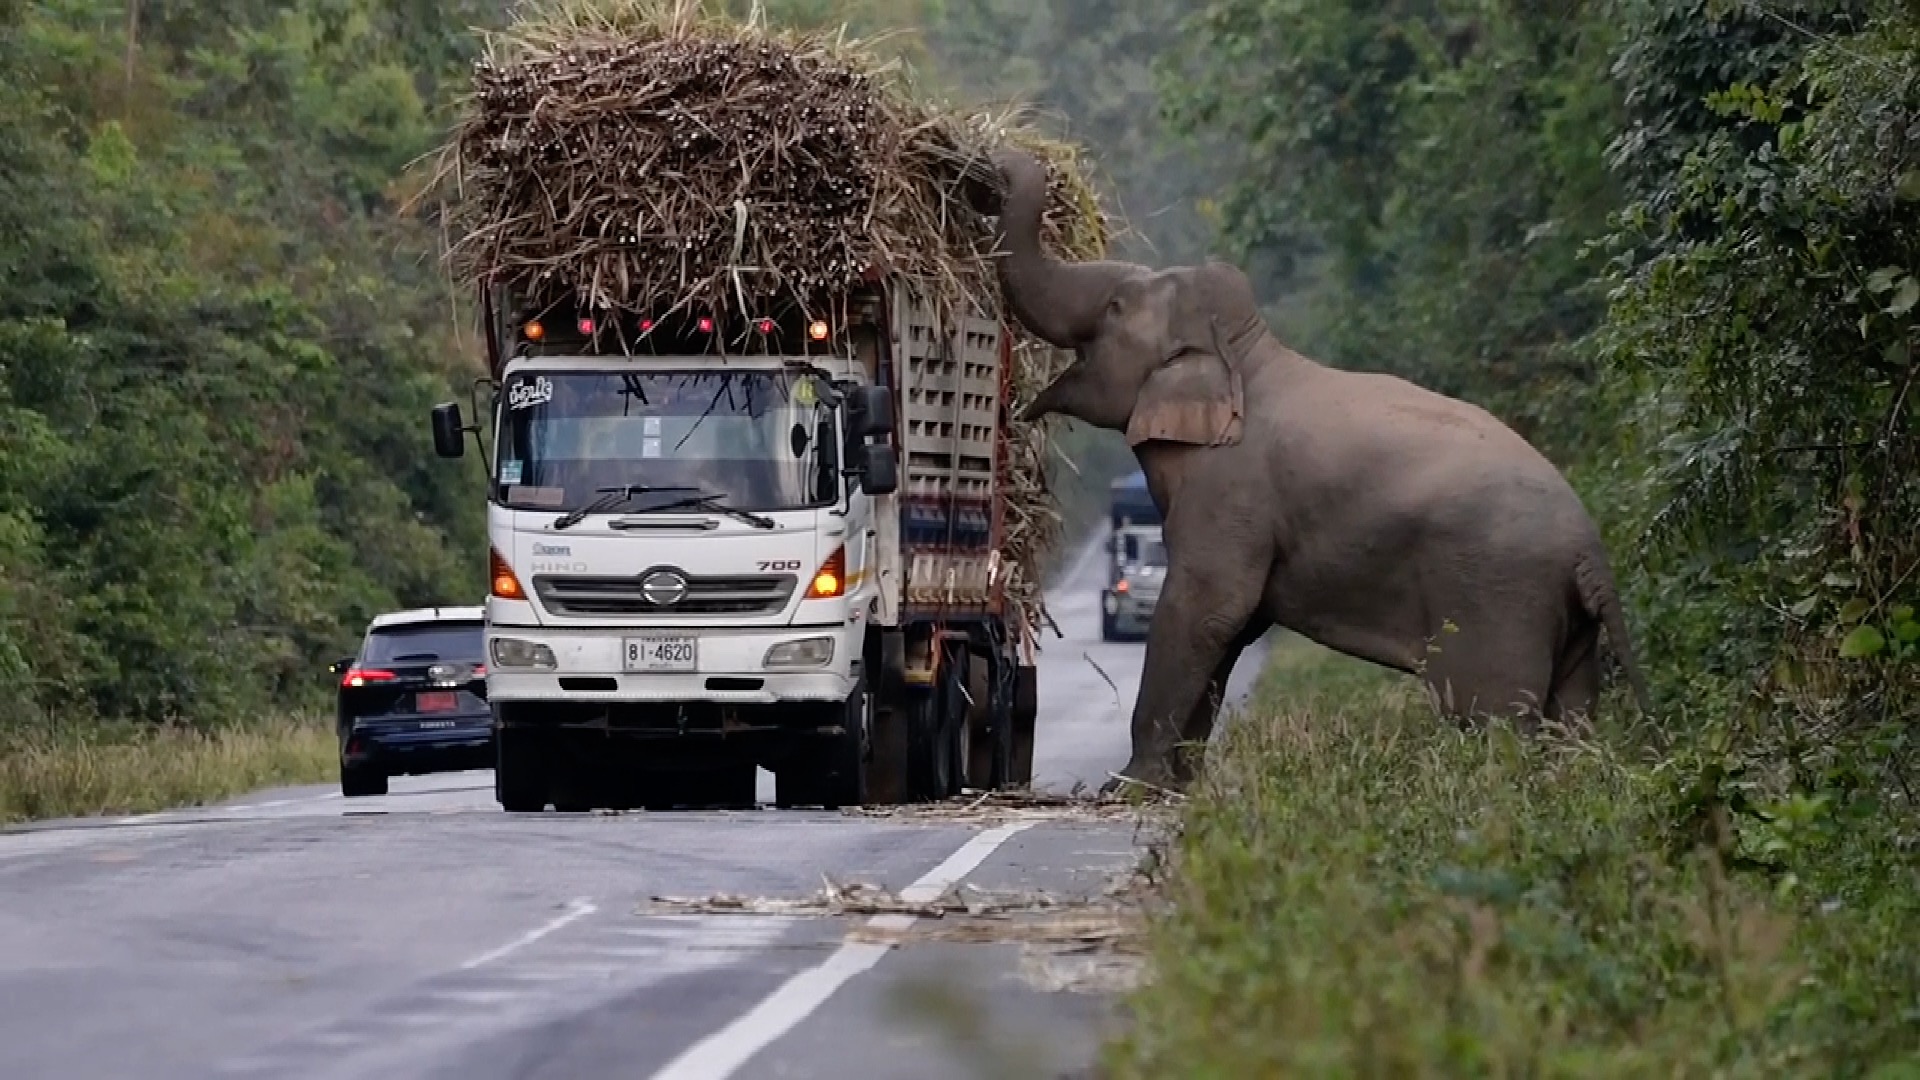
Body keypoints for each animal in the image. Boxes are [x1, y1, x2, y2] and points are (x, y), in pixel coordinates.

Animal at [982, 147, 1652, 793]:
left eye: (1117, 307)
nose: (996, 162)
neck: (1244, 352)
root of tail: (1590, 550)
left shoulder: (1230, 490)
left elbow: (1207, 607)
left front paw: (1128, 790)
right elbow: (1232, 626)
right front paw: (1180, 788)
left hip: (1498, 601)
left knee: (1492, 720)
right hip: (1564, 622)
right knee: (1572, 716)